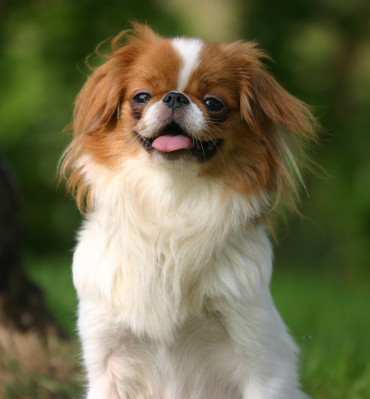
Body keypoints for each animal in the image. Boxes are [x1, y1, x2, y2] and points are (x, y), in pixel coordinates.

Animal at [60, 22, 316, 399]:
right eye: (141, 97)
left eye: (213, 103)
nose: (175, 97)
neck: (170, 198)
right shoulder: (106, 357)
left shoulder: (262, 361)